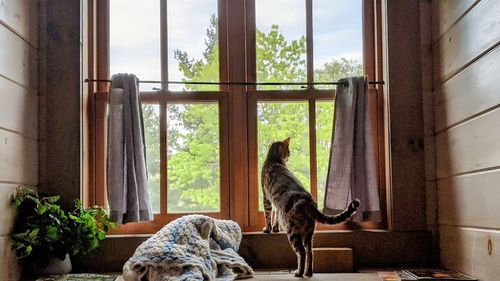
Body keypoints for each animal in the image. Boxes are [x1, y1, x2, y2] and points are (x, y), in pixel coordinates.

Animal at [262, 136, 360, 276]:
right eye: (288, 151)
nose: (289, 155)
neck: (274, 159)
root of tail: (308, 202)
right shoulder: (274, 203)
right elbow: (275, 216)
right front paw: (275, 228)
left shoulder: (266, 197)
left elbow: (268, 215)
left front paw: (267, 229)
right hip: (309, 233)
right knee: (310, 252)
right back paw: (308, 272)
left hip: (293, 232)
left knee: (302, 252)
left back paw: (299, 272)